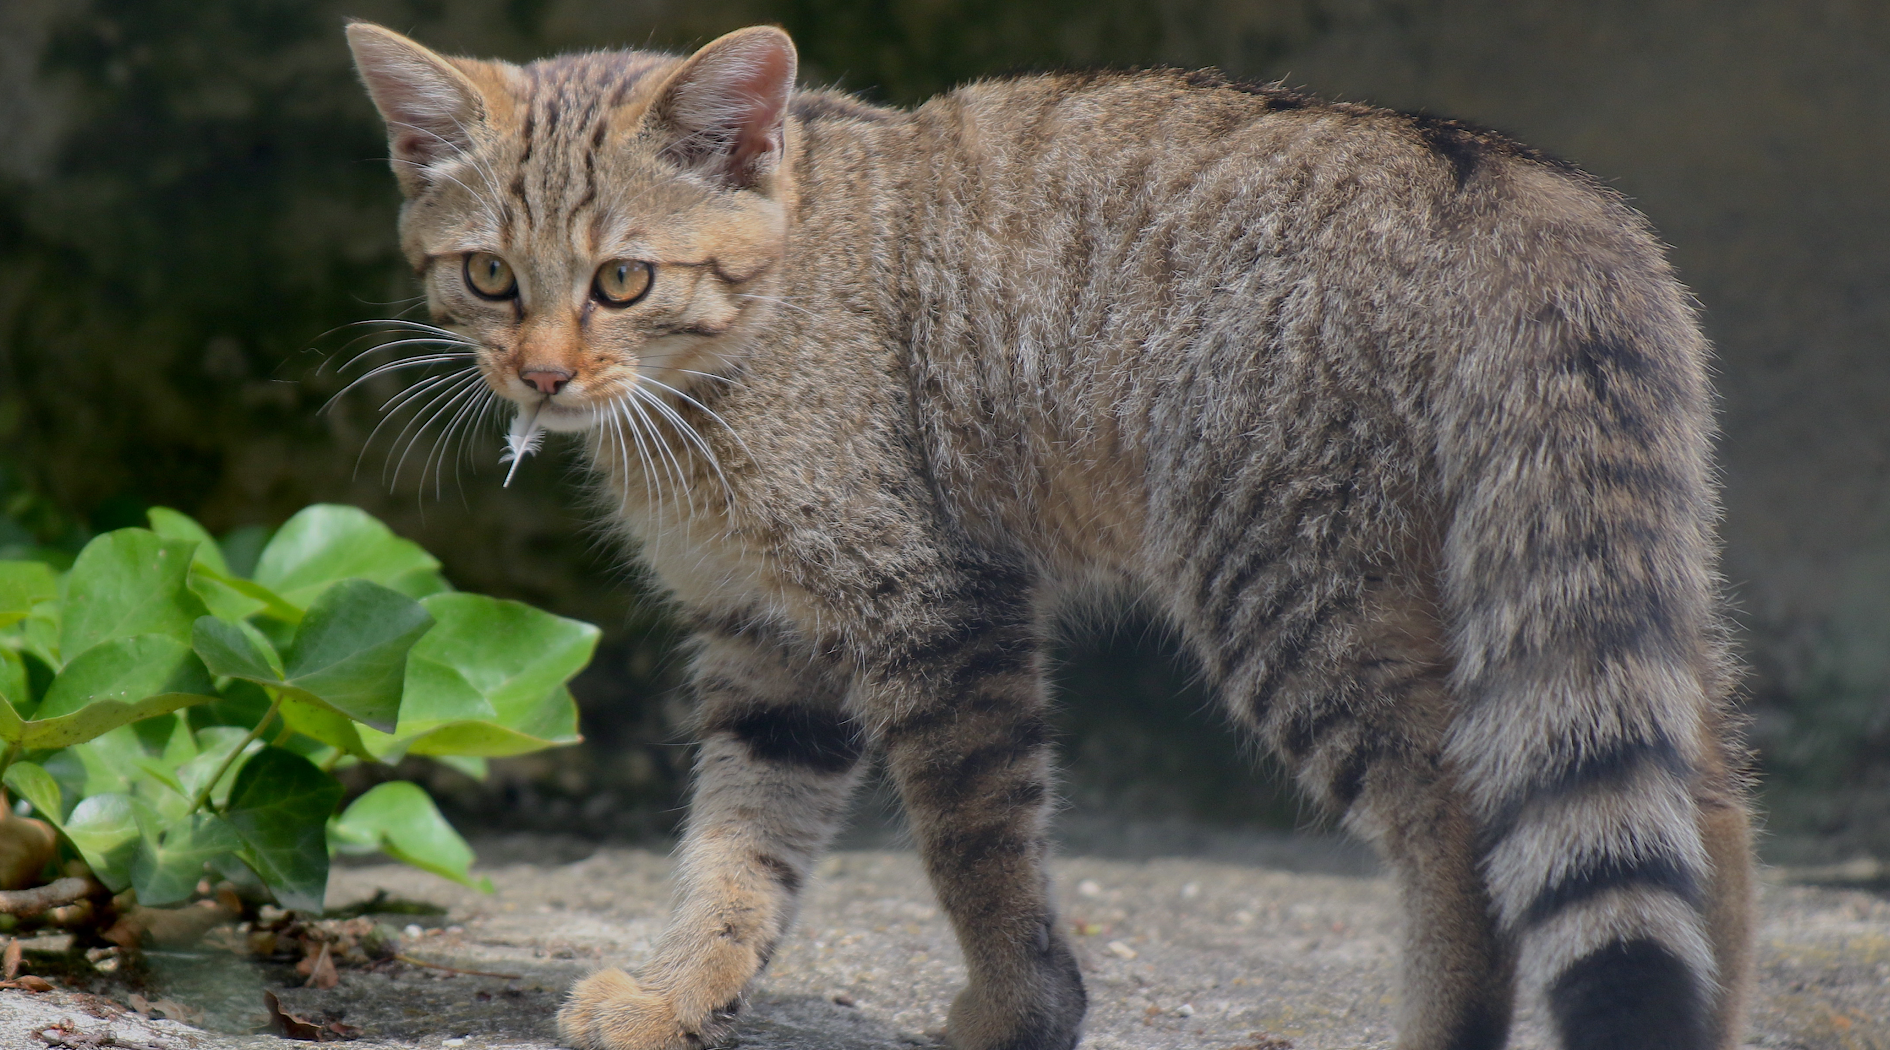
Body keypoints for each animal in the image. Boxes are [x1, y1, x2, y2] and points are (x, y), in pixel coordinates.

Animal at [351, 22, 1753, 1050]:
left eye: (623, 280)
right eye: (489, 275)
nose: (540, 375)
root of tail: (1512, 176)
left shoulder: (936, 604)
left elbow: (976, 846)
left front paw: (1018, 1013)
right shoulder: (768, 644)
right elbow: (740, 850)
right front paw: (678, 991)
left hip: (1296, 587)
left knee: (1462, 828)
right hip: (1589, 589)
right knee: (1691, 817)